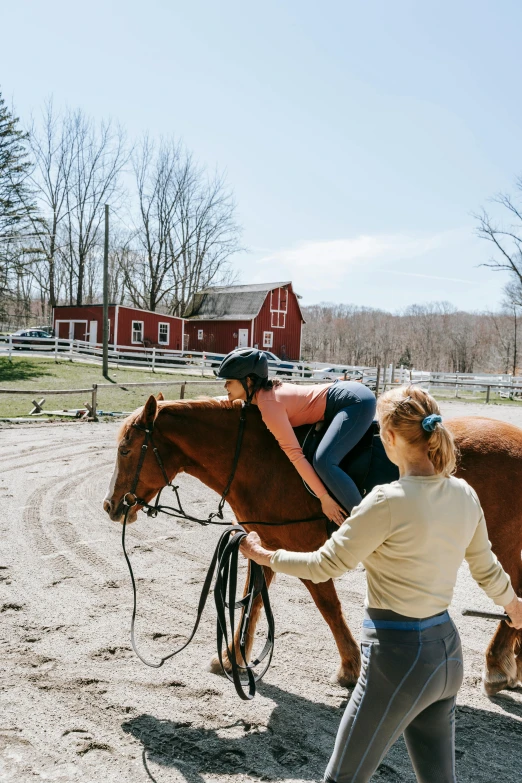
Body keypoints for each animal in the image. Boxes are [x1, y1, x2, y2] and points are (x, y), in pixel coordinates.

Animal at [102, 396, 520, 696]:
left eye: (125, 449)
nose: (110, 505)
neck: (261, 458)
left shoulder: (306, 550)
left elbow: (327, 606)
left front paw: (350, 666)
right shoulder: (264, 544)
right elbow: (253, 601)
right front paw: (233, 657)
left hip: (499, 541)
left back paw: (498, 665)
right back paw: (512, 660)